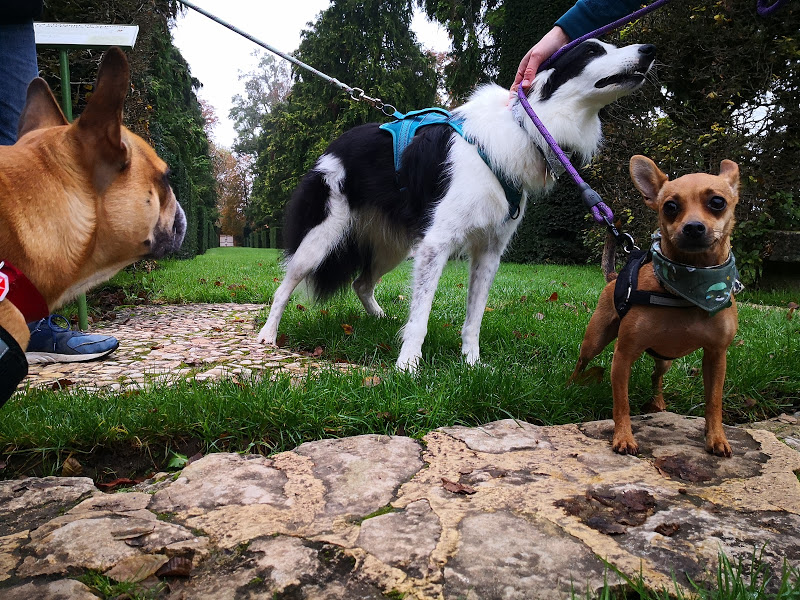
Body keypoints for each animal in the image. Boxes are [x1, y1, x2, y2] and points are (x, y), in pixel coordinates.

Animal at [258, 38, 656, 370]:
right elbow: (421, 314)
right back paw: (268, 335)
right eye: (592, 51)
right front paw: (408, 366)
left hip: (394, 246)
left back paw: (381, 319)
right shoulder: (437, 243)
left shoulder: (489, 251)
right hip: (323, 236)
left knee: (361, 283)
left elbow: (474, 317)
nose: (648, 50)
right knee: (286, 283)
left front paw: (472, 364)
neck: (526, 126)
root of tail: (332, 147)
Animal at [572, 157, 740, 458]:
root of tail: (614, 277)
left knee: (655, 375)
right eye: (670, 207)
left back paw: (657, 402)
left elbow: (714, 401)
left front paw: (716, 437)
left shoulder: (716, 356)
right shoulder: (623, 356)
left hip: (665, 358)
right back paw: (570, 387)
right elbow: (622, 403)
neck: (688, 289)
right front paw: (623, 437)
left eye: (717, 202)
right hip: (595, 340)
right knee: (582, 361)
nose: (693, 227)